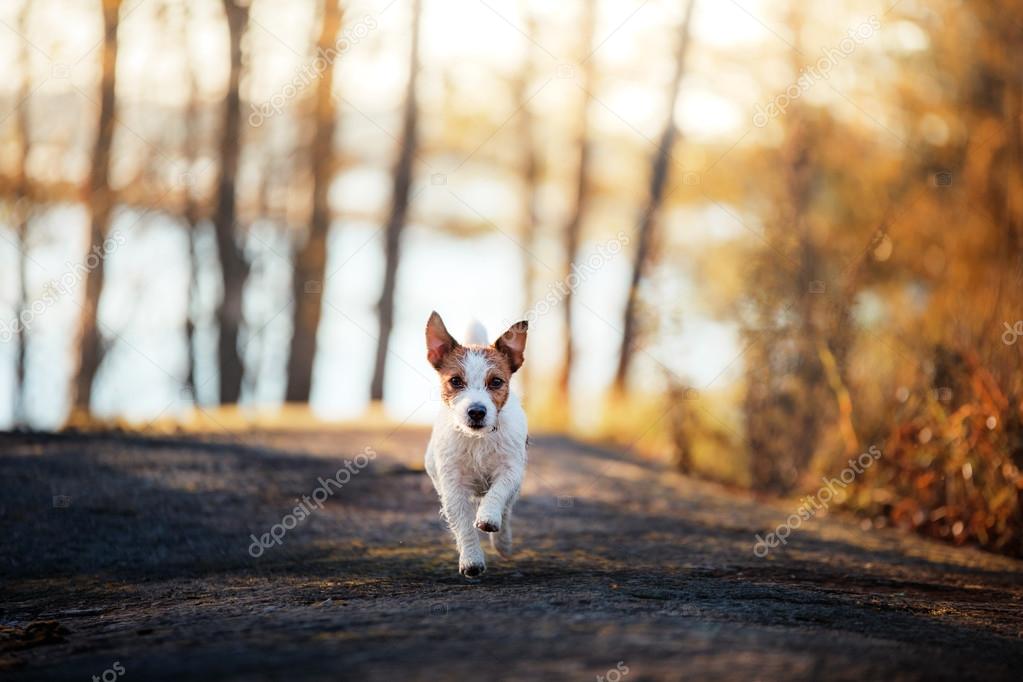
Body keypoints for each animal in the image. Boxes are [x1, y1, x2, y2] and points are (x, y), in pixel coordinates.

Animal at [421, 312, 527, 580]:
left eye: (496, 382)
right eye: (456, 381)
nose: (477, 411)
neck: (478, 439)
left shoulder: (511, 470)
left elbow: (498, 493)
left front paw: (488, 517)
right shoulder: (453, 487)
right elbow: (463, 526)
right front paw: (471, 560)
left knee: (507, 510)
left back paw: (503, 542)